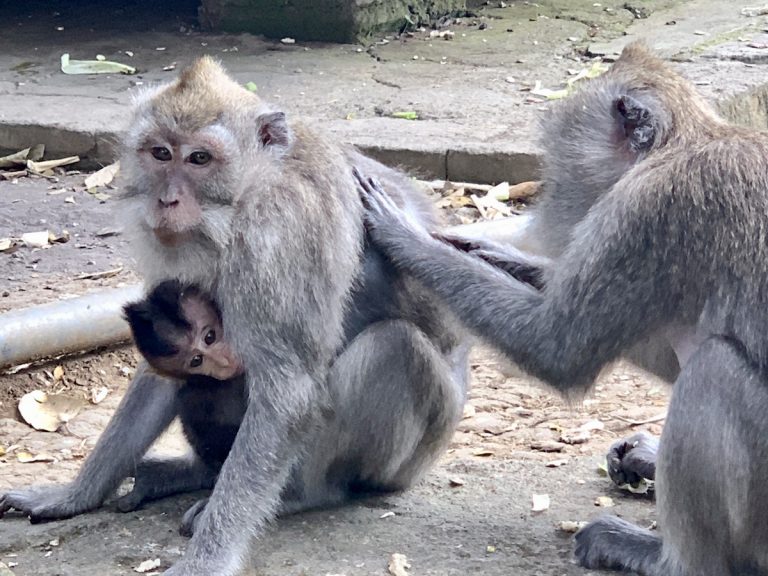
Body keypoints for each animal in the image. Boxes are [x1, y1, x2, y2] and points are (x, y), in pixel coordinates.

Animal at [0, 58, 470, 576]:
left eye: (199, 159)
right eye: (160, 153)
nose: (166, 201)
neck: (247, 194)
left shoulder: (275, 242)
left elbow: (289, 393)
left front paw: (206, 560)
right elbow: (160, 370)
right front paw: (73, 494)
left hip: (411, 456)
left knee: (393, 346)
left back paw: (302, 495)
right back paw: (183, 474)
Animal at [357, 41, 768, 575]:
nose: (545, 202)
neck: (684, 143)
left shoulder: (650, 214)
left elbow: (561, 348)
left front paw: (403, 235)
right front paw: (489, 251)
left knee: (714, 368)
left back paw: (670, 560)